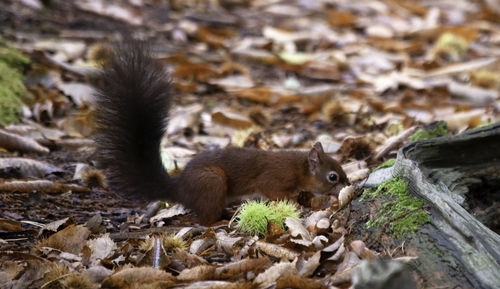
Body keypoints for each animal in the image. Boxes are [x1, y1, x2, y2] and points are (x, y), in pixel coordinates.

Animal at [94, 42, 348, 225]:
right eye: (332, 177)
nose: (348, 184)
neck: (299, 168)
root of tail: (179, 189)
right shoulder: (274, 177)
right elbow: (272, 190)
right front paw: (295, 201)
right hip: (212, 182)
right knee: (204, 219)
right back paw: (217, 221)